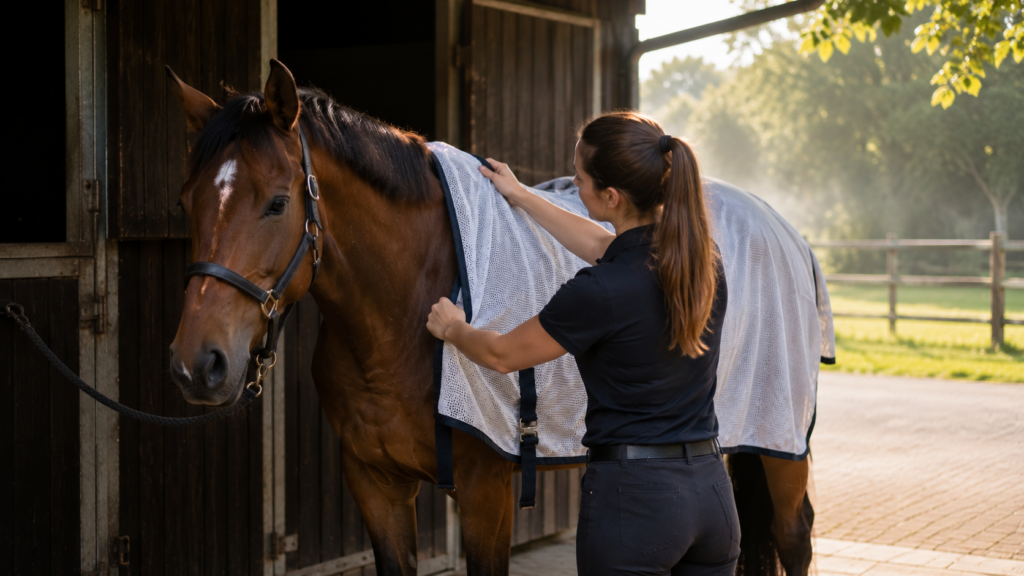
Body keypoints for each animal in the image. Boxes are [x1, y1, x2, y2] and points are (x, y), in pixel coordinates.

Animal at [166, 59, 815, 576]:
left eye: (277, 203)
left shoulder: (488, 491)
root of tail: (783, 227)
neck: (403, 313)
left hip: (781, 438)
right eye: (186, 200)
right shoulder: (376, 484)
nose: (197, 365)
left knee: (794, 535)